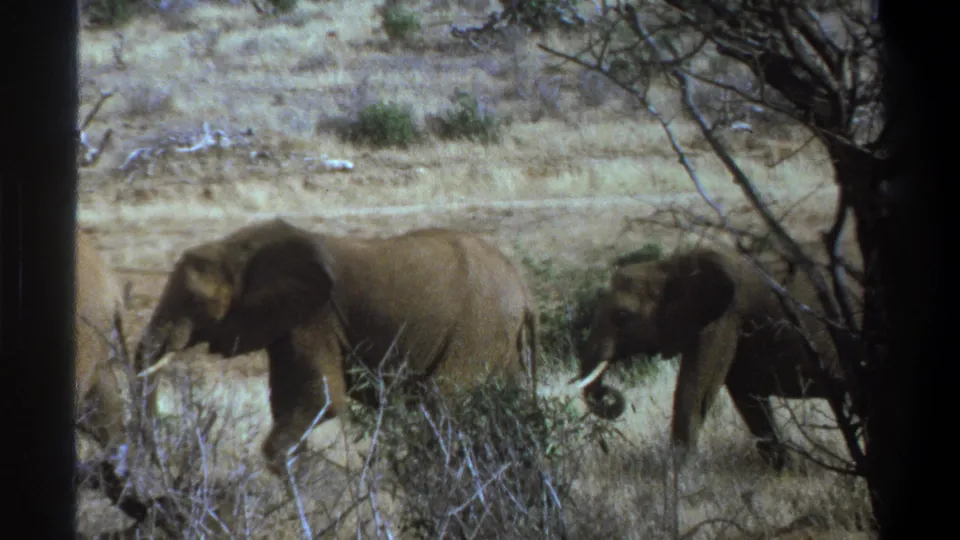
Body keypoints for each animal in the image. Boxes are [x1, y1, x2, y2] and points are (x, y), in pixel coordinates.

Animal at [133, 218, 540, 477]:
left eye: (192, 301)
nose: (157, 463)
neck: (238, 247)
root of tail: (522, 291)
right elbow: (289, 402)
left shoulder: (316, 318)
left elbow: (320, 400)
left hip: (478, 328)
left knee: (445, 404)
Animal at [572, 245, 858, 470]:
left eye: (622, 316)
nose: (610, 393)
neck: (669, 266)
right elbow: (745, 397)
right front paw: (784, 471)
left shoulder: (723, 318)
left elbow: (696, 390)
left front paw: (679, 475)